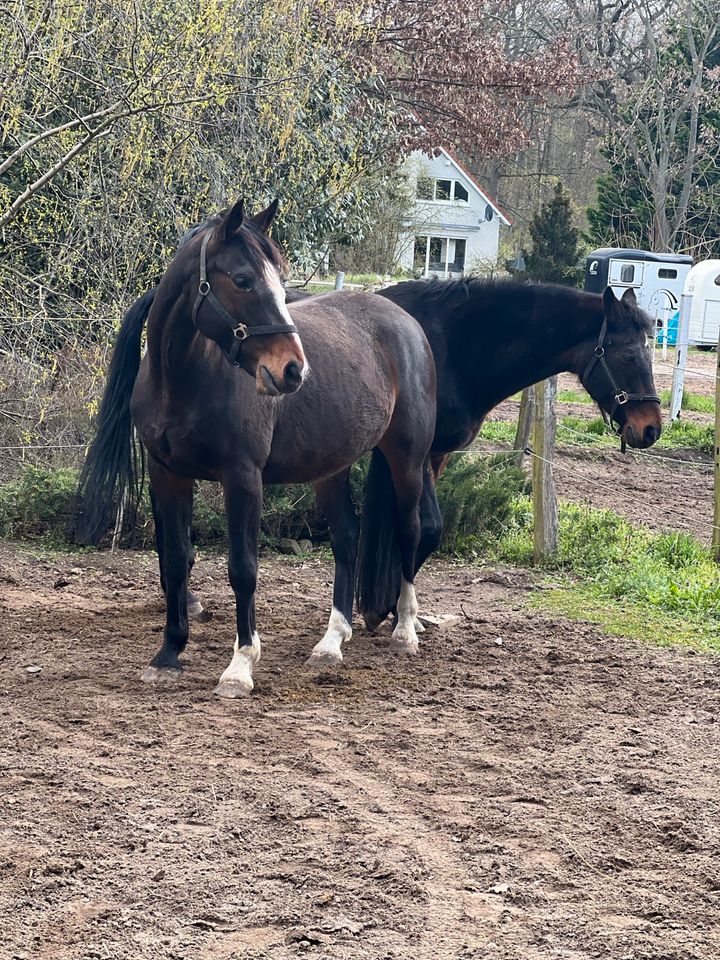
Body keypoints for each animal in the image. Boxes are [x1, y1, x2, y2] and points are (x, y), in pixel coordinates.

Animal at [79, 201, 438, 696]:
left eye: (281, 283)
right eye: (243, 280)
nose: (293, 370)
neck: (182, 382)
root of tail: (406, 322)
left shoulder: (243, 478)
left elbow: (243, 569)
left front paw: (240, 665)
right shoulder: (168, 474)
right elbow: (175, 560)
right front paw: (169, 653)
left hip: (407, 460)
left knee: (409, 531)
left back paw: (404, 629)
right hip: (332, 467)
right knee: (347, 539)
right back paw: (331, 641)